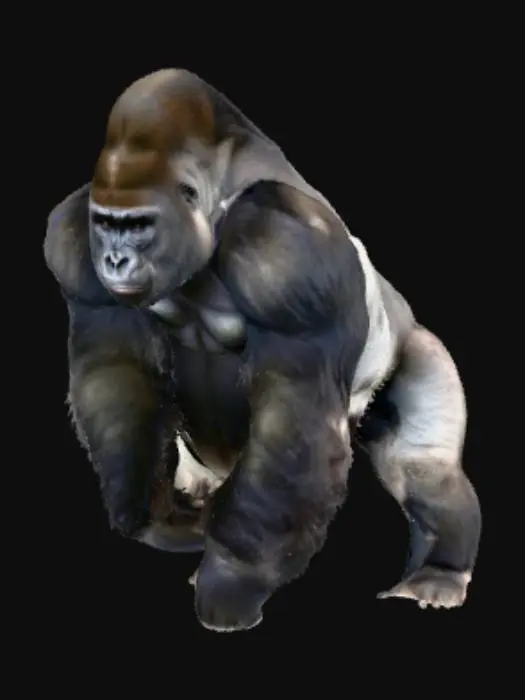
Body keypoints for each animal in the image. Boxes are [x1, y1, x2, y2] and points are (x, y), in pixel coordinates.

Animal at [44, 68, 481, 632]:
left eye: (138, 225)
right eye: (106, 223)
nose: (114, 260)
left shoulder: (286, 247)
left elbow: (293, 413)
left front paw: (233, 578)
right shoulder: (73, 235)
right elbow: (115, 369)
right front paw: (151, 517)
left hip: (415, 345)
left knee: (425, 468)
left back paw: (440, 572)